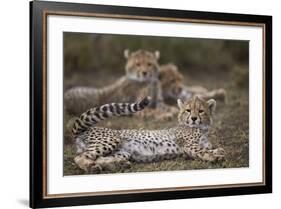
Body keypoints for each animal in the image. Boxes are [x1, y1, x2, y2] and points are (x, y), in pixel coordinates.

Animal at [72, 96, 225, 173]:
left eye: (201, 111)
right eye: (188, 110)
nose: (193, 118)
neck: (202, 128)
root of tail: (87, 129)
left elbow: (213, 148)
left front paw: (218, 151)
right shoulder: (189, 145)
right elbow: (203, 151)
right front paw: (214, 156)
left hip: (122, 152)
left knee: (99, 159)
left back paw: (119, 165)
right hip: (111, 139)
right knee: (80, 157)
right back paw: (91, 167)